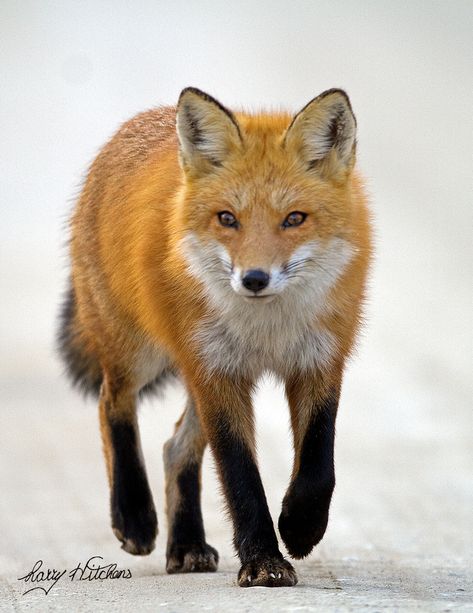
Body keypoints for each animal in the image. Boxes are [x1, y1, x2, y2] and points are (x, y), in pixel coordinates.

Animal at [57, 87, 370, 588]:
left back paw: (185, 545)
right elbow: (240, 474)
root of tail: (141, 121)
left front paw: (300, 526)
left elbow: (319, 462)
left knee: (175, 447)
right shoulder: (216, 371)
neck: (268, 331)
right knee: (112, 405)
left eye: (294, 219)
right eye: (227, 218)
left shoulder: (319, 361)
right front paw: (264, 562)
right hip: (139, 353)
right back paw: (134, 516)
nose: (255, 278)